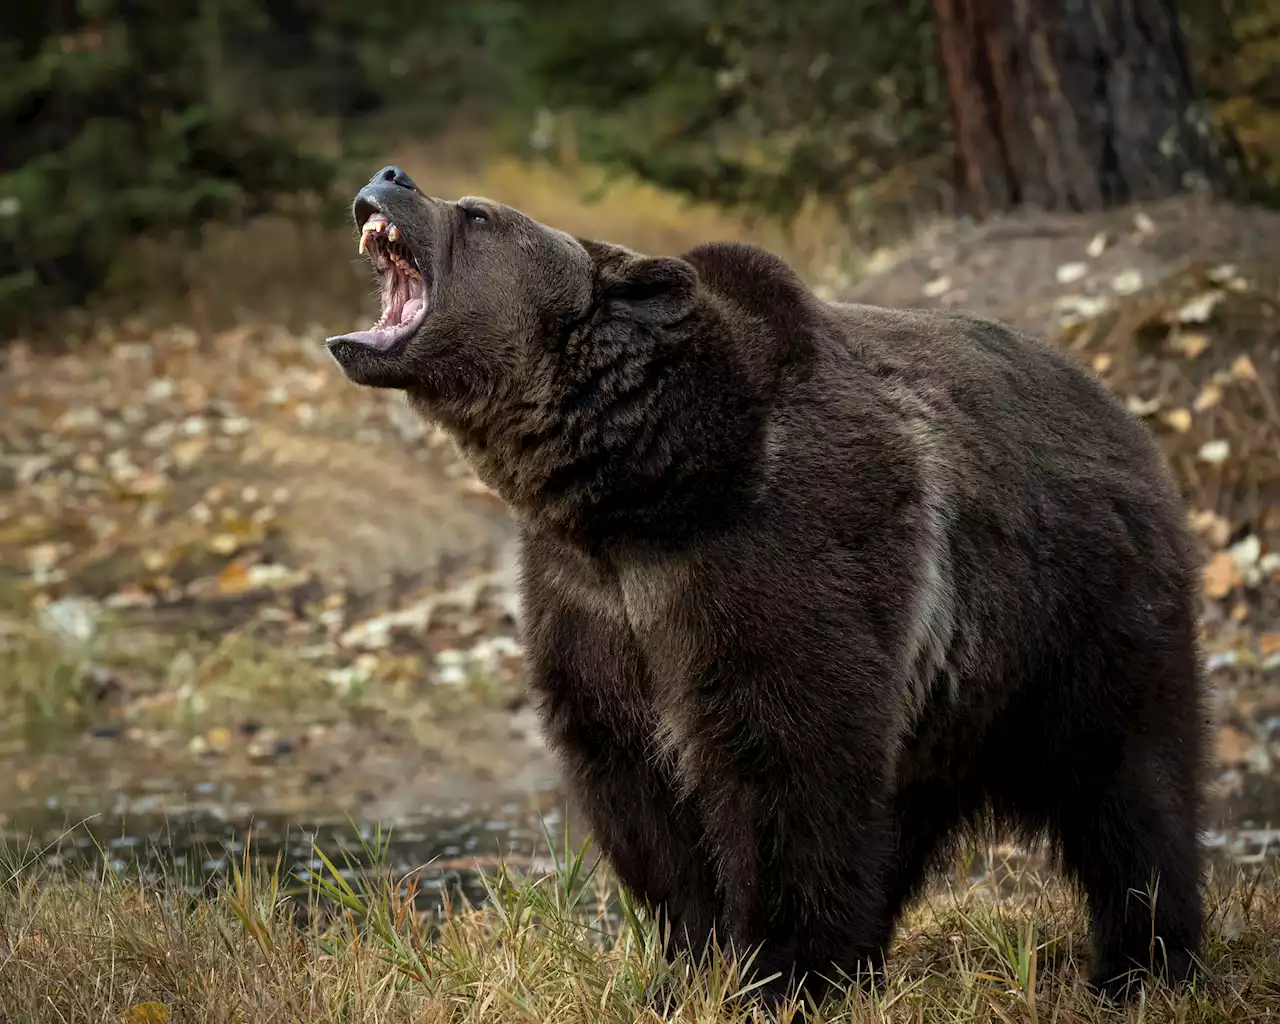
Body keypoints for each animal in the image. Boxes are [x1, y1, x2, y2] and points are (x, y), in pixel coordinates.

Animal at [330, 166, 1208, 1008]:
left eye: (478, 214)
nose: (391, 176)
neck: (642, 491)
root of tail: (1121, 411)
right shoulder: (589, 603)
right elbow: (638, 788)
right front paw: (689, 967)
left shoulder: (778, 559)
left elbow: (786, 765)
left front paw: (783, 975)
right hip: (953, 694)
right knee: (914, 809)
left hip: (1080, 610)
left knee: (1130, 786)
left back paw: (1143, 964)